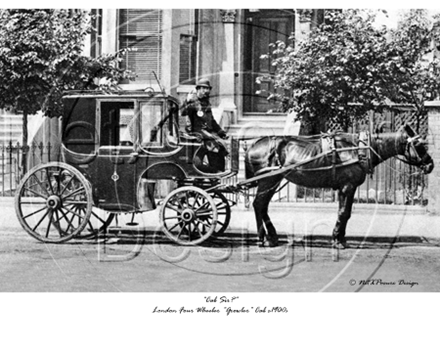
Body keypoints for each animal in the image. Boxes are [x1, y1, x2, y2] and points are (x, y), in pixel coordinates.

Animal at [244, 125, 434, 249]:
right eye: (418, 145)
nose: (430, 164)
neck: (359, 149)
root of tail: (253, 145)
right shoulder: (347, 187)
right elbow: (343, 213)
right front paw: (337, 239)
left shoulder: (348, 188)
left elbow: (346, 213)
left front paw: (340, 238)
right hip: (268, 180)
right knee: (259, 204)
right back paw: (263, 238)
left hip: (272, 181)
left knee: (262, 206)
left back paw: (271, 237)